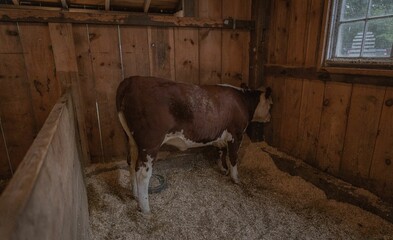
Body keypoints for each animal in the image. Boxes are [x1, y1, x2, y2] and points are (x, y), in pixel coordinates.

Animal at [115, 76, 272, 213]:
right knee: (142, 173)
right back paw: (146, 209)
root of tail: (132, 79)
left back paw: (135, 195)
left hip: (132, 141)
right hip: (150, 144)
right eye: (271, 105)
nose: (269, 118)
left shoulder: (220, 135)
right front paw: (236, 178)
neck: (243, 101)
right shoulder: (236, 134)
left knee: (131, 164)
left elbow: (220, 152)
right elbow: (233, 158)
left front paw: (223, 169)